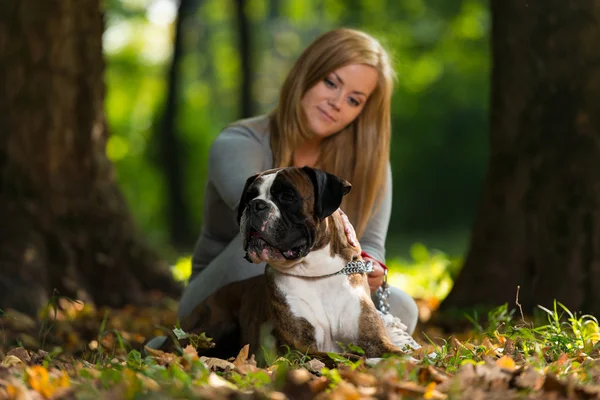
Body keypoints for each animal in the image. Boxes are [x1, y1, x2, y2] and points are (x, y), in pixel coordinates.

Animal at [176, 167, 406, 360]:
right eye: (248, 197)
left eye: (287, 196)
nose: (255, 205)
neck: (318, 274)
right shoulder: (297, 348)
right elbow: (343, 357)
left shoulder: (374, 340)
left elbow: (403, 356)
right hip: (217, 327)